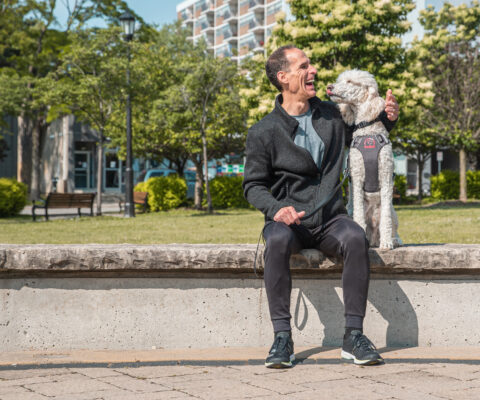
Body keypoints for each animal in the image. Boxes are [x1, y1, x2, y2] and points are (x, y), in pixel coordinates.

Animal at [326, 70, 402, 248]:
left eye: (350, 81)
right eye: (340, 80)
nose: (329, 87)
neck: (368, 132)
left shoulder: (386, 177)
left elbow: (386, 219)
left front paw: (387, 243)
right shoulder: (357, 178)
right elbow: (359, 215)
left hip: (393, 212)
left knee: (391, 223)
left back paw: (394, 240)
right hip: (350, 209)